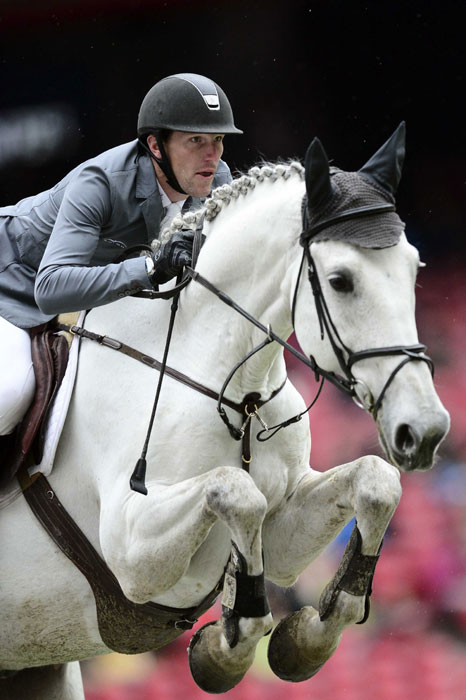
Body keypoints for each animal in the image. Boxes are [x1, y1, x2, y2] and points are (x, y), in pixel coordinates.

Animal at [0, 123, 452, 696]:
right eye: (341, 281)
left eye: (413, 269)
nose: (426, 431)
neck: (239, 392)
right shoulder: (130, 552)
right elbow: (237, 490)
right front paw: (228, 644)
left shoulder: (286, 528)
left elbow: (376, 481)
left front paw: (308, 637)